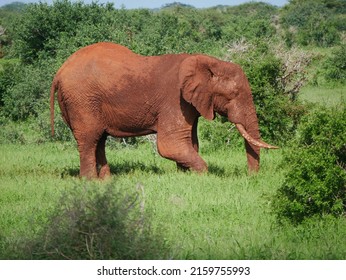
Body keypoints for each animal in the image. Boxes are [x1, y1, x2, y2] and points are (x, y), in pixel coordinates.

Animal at [50, 42, 278, 178]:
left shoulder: (189, 104)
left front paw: (184, 176)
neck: (207, 62)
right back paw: (91, 183)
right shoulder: (175, 100)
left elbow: (191, 142)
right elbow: (170, 144)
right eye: (233, 95)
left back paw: (107, 181)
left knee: (100, 140)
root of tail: (59, 71)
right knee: (90, 139)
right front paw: (202, 175)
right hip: (82, 100)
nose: (251, 176)